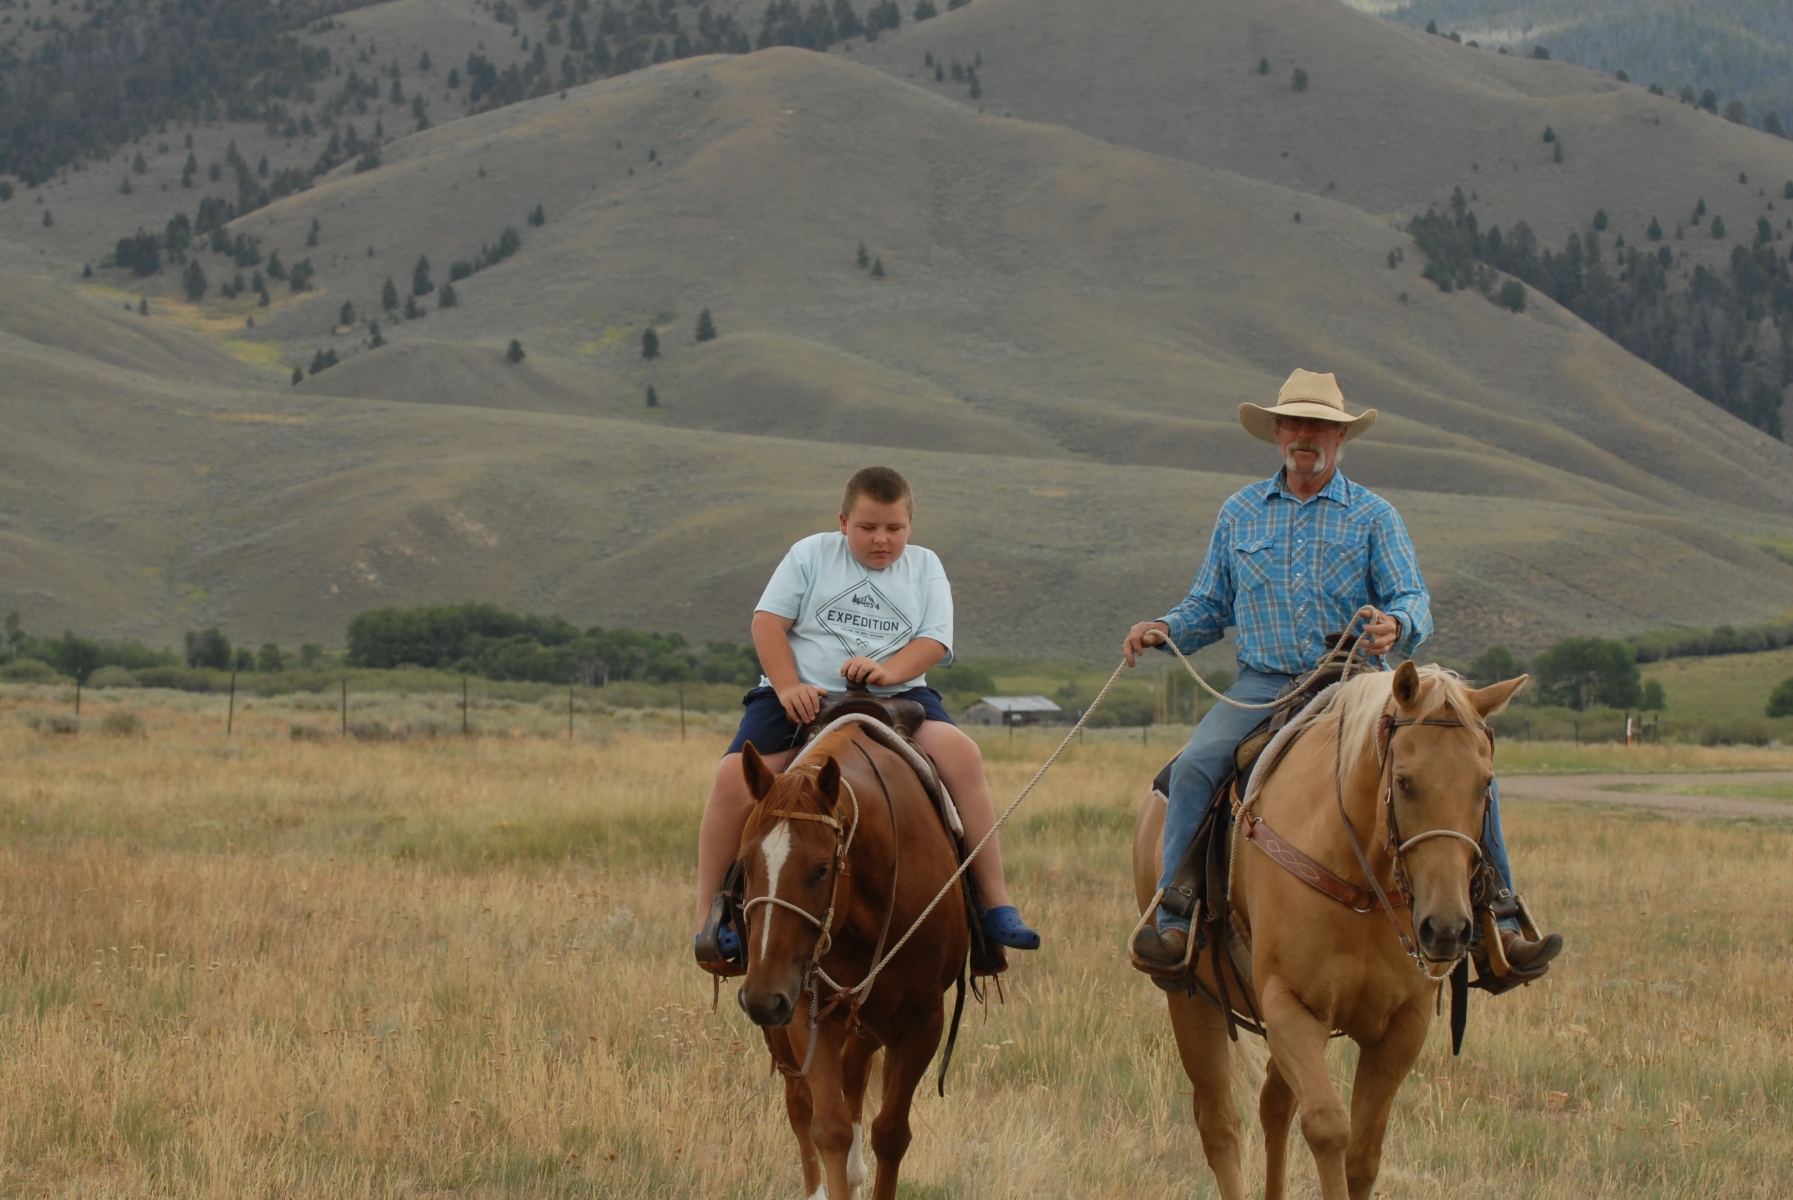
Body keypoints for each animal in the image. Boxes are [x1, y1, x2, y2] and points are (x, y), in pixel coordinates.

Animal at [735, 724, 970, 1200]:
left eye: (822, 868)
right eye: (744, 863)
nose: (762, 998)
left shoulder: (922, 1022)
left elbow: (891, 1133)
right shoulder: (805, 1011)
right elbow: (830, 1128)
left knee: (854, 1075)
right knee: (800, 1103)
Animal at [1132, 661, 1527, 1200]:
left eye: (1485, 785)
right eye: (1404, 782)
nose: (1446, 928)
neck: (1362, 881)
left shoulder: (1403, 1025)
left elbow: (1363, 1152)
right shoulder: (1290, 1005)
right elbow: (1328, 1127)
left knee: (1273, 1105)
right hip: (1191, 1001)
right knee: (1220, 1124)